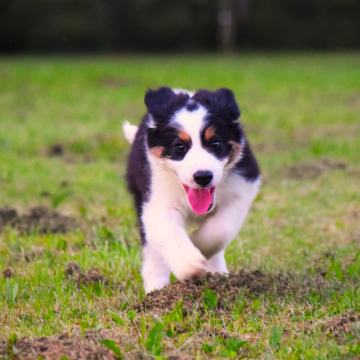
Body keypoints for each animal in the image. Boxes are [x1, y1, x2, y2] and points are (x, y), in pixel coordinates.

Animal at [123, 87, 258, 292]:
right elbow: (169, 232)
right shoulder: (157, 199)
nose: (202, 176)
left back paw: (218, 273)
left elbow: (221, 230)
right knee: (152, 248)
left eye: (215, 143)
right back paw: (156, 289)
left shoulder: (243, 188)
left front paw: (197, 245)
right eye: (179, 147)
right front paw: (189, 265)